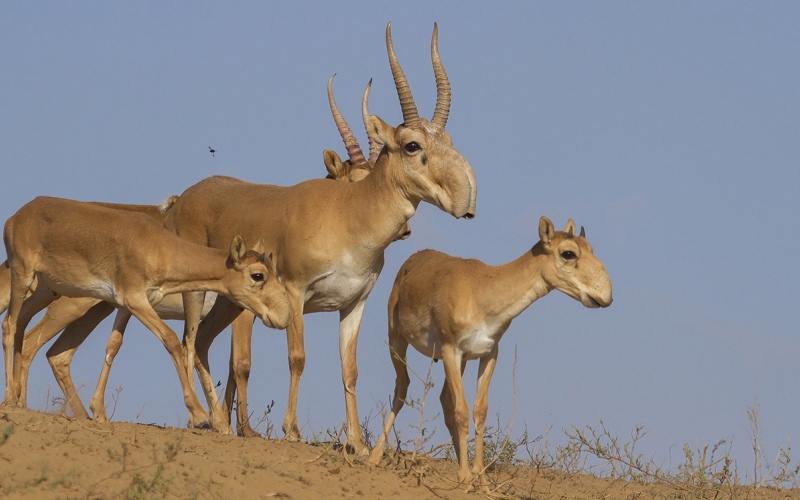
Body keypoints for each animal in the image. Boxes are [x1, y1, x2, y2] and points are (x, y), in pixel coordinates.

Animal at [1, 195, 290, 430]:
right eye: (258, 275)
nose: (284, 316)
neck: (157, 246)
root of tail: (18, 216)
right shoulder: (136, 300)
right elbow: (173, 341)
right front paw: (200, 416)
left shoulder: (125, 305)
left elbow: (113, 346)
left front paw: (100, 411)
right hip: (25, 276)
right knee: (11, 326)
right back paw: (11, 398)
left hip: (45, 290)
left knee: (29, 334)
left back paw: (22, 400)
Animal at [162, 23, 476, 454]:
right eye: (412, 145)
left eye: (448, 140)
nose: (467, 197)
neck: (347, 216)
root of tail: (183, 199)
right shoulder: (295, 294)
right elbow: (297, 358)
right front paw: (291, 430)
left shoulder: (354, 304)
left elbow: (350, 369)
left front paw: (357, 444)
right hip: (197, 296)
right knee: (190, 343)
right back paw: (212, 422)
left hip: (230, 304)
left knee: (205, 343)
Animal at [368, 217, 612, 490]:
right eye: (568, 253)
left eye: (590, 248)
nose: (606, 294)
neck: (482, 290)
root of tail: (412, 260)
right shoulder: (451, 350)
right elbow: (462, 411)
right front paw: (465, 478)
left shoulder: (488, 354)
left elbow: (479, 411)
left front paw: (481, 480)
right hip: (397, 340)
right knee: (402, 389)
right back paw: (374, 457)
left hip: (460, 362)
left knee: (443, 399)